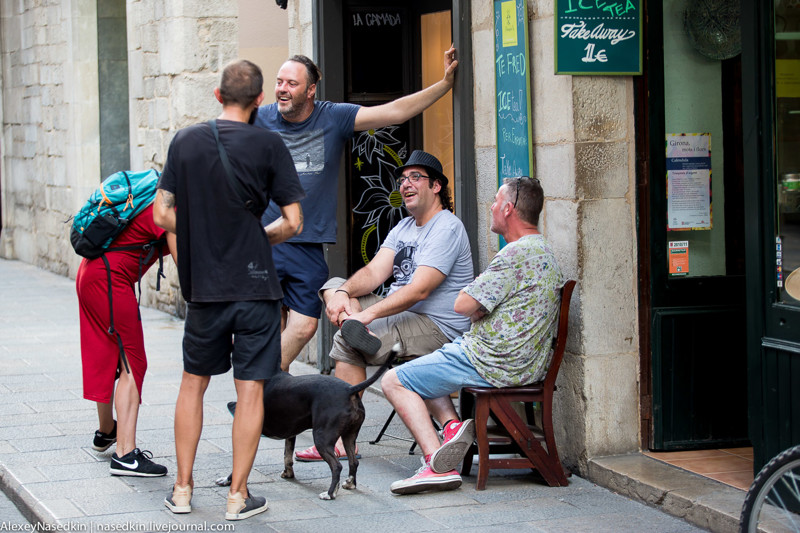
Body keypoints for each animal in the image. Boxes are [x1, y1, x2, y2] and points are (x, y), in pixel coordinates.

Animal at [216, 344, 400, 498]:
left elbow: (240, 464)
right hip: (349, 435)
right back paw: (349, 484)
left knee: (337, 466)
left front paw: (227, 480)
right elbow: (287, 456)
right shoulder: (290, 433)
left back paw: (330, 493)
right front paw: (288, 474)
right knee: (353, 462)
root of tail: (349, 389)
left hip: (322, 437)